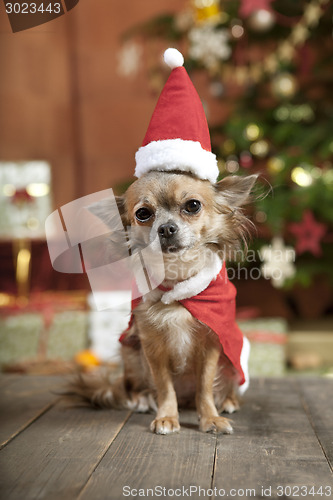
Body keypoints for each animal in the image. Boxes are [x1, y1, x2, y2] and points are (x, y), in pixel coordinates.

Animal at [69, 170, 256, 436]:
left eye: (193, 205)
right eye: (143, 213)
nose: (166, 228)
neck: (176, 281)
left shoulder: (211, 343)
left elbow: (205, 386)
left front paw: (210, 417)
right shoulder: (152, 346)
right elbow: (165, 386)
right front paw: (167, 416)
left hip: (232, 360)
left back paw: (228, 401)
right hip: (130, 352)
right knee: (137, 386)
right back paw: (142, 400)